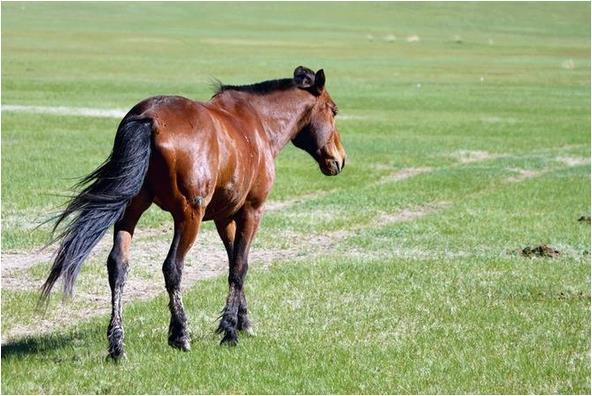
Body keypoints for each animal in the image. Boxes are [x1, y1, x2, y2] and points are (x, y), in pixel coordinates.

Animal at [40, 65, 346, 358]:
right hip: (189, 217)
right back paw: (180, 334)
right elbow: (240, 267)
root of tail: (149, 118)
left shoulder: (225, 217)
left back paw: (117, 344)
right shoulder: (251, 212)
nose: (340, 159)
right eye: (333, 110)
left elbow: (233, 262)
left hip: (131, 211)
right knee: (172, 267)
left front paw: (242, 321)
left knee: (118, 265)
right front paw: (229, 331)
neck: (257, 124)